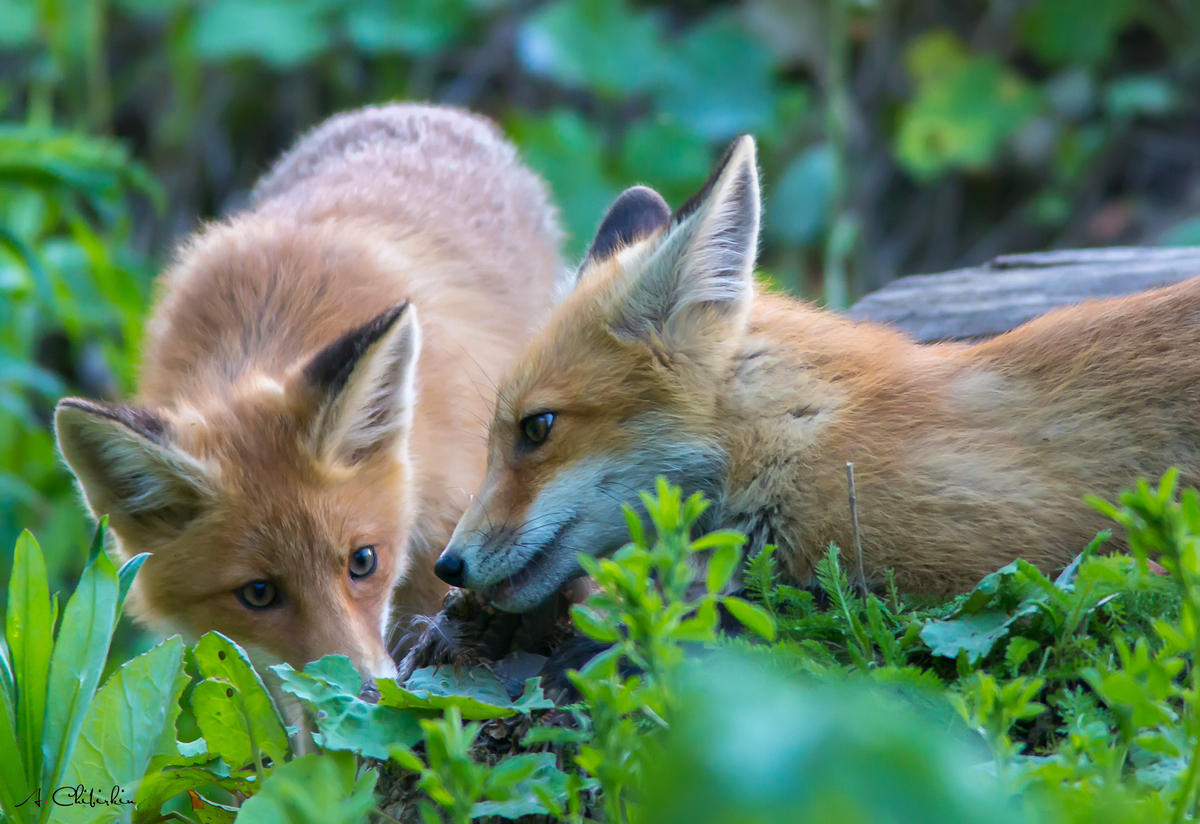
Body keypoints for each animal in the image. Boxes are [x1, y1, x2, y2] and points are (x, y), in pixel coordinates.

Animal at [51, 104, 566, 676]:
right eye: (257, 593)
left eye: (363, 561)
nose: (364, 691)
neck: (259, 336)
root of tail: (420, 109)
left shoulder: (451, 528)